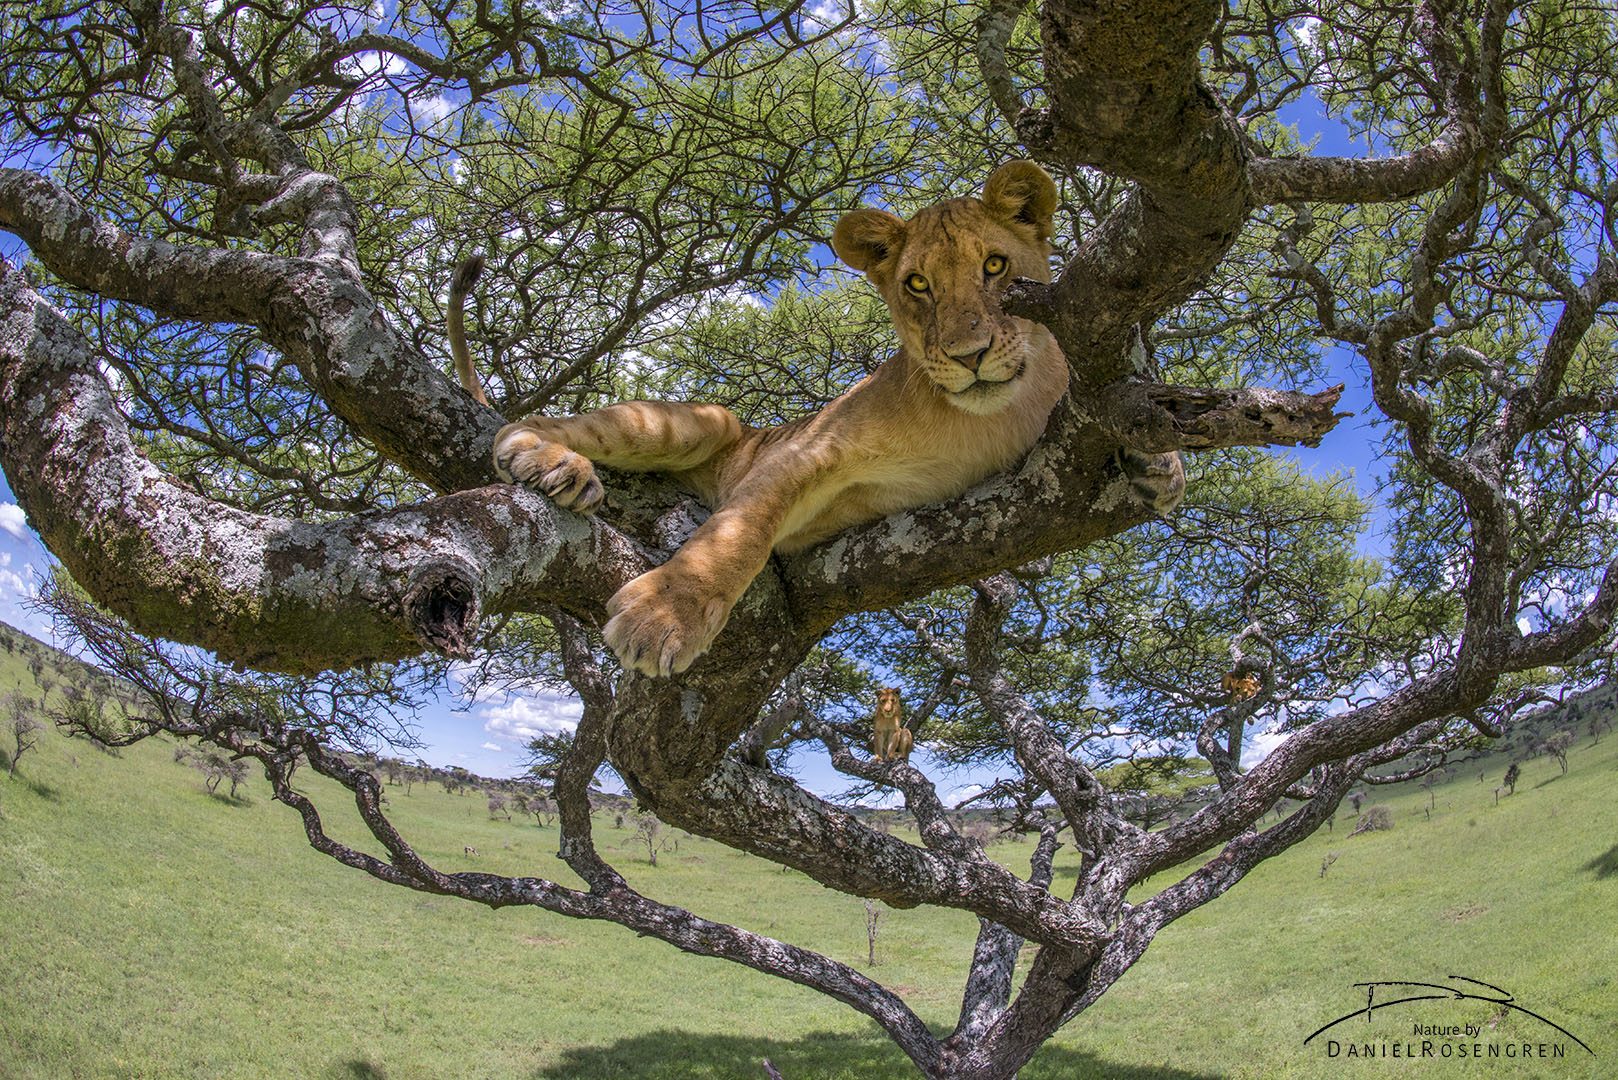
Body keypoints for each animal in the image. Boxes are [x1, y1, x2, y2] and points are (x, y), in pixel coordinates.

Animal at [453, 162, 1184, 676]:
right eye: (917, 284)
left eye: (996, 265)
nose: (968, 355)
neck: (991, 414)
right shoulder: (809, 449)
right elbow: (740, 530)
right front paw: (665, 615)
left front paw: (1161, 466)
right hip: (702, 423)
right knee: (540, 421)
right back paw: (549, 461)